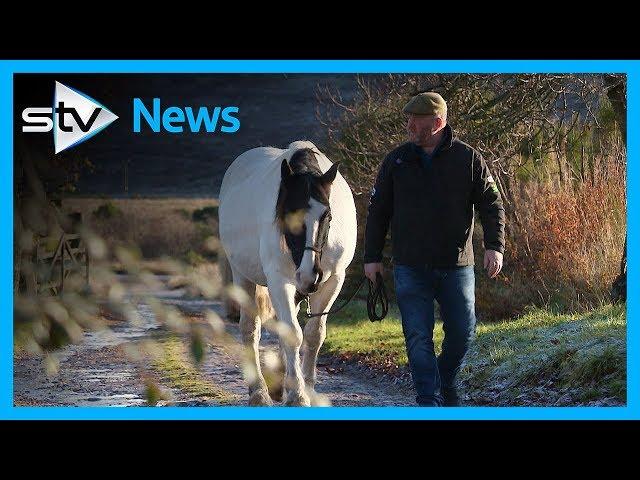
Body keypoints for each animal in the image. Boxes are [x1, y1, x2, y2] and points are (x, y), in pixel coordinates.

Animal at [219, 141, 360, 406]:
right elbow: (293, 334)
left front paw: (308, 390)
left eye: (327, 216)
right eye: (288, 214)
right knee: (250, 329)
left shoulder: (333, 281)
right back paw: (259, 393)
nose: (309, 273)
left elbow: (314, 334)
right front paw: (297, 396)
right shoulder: (279, 281)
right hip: (242, 275)